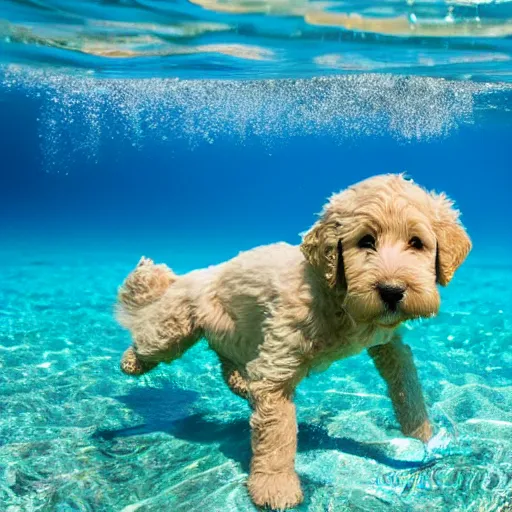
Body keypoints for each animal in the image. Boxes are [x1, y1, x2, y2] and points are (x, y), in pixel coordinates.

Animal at [116, 174, 472, 510]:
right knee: (151, 338)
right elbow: (277, 432)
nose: (393, 291)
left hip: (237, 336)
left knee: (228, 364)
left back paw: (241, 383)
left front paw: (424, 434)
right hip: (175, 329)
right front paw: (275, 486)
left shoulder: (388, 342)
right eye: (366, 241)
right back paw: (131, 361)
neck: (337, 296)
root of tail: (193, 274)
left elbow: (405, 381)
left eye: (417, 242)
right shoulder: (278, 360)